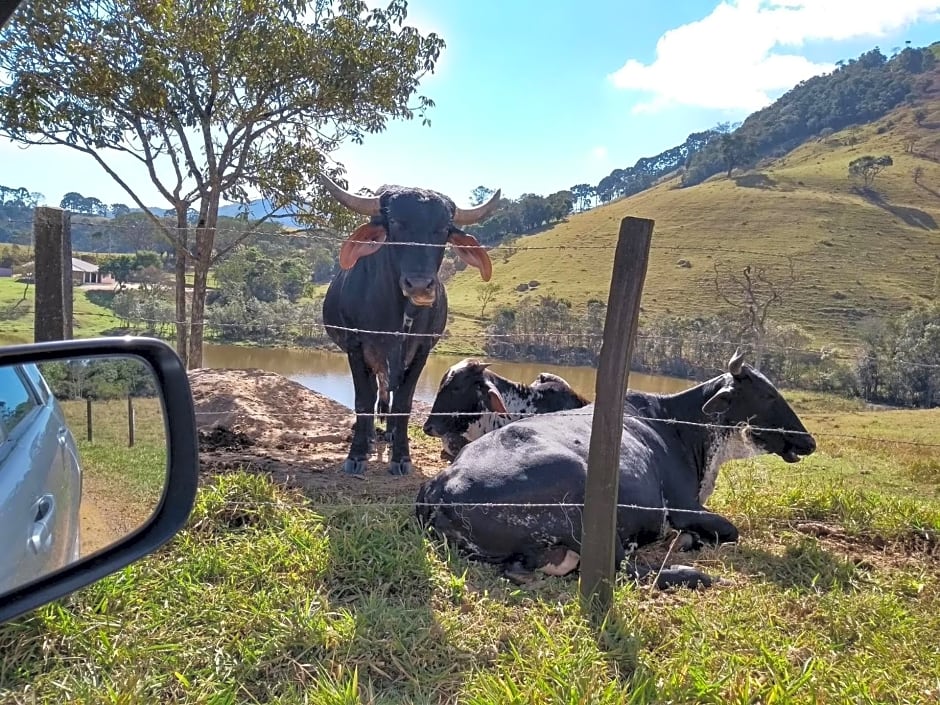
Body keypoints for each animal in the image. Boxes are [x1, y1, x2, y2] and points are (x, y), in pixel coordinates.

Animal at [322, 173, 504, 476]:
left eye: (443, 229)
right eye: (396, 222)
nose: (419, 285)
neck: (398, 313)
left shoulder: (420, 350)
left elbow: (403, 403)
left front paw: (401, 457)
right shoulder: (356, 345)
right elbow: (363, 400)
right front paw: (357, 454)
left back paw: (390, 434)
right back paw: (370, 438)